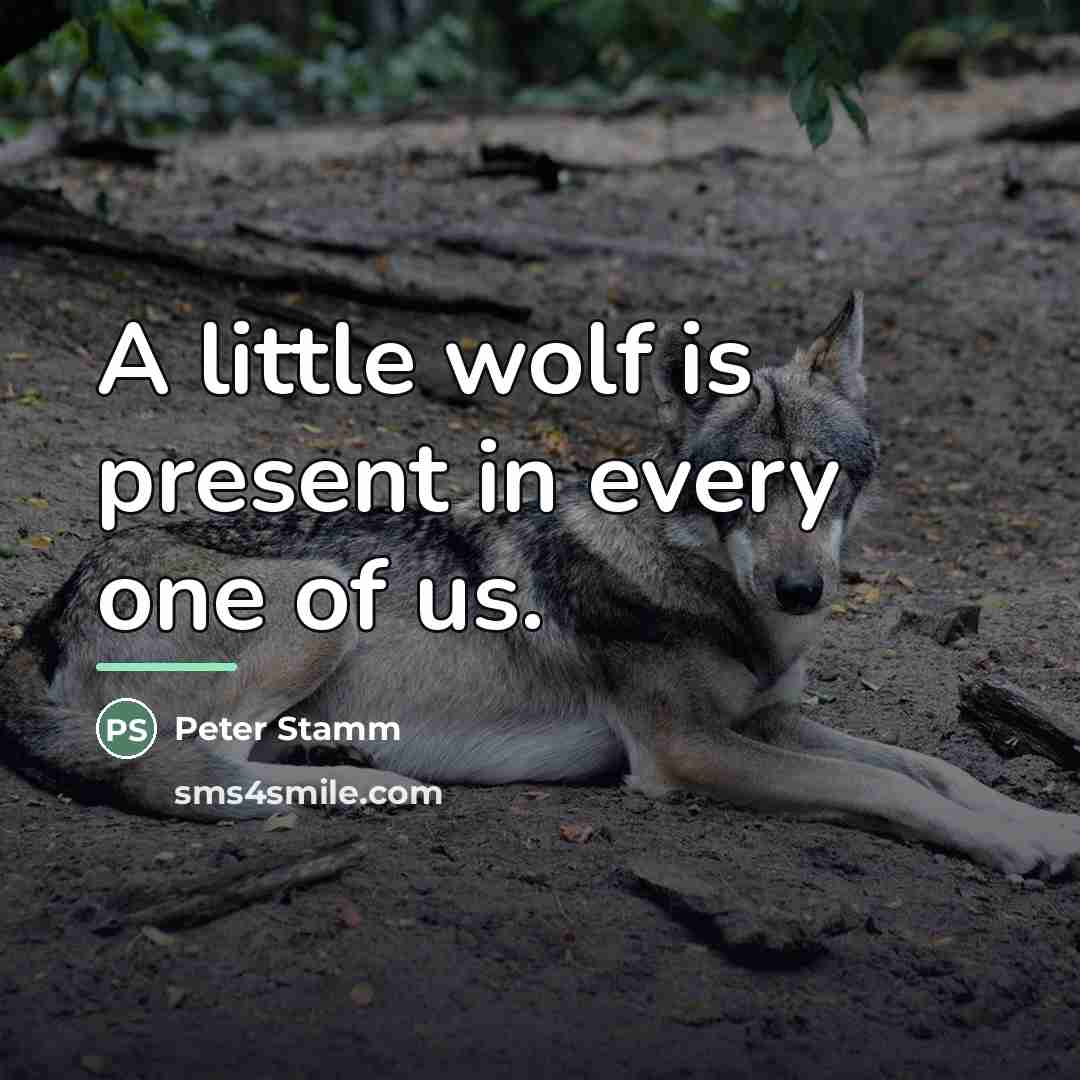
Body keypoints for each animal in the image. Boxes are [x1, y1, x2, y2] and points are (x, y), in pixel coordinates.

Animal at [2, 292, 1078, 879]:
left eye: (826, 476)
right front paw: (1007, 848)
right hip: (322, 599)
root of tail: (48, 606)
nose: (801, 592)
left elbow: (929, 767)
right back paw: (370, 787)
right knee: (181, 769)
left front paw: (1045, 824)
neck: (698, 577)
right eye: (736, 485)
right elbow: (879, 784)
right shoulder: (687, 750)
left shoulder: (766, 721)